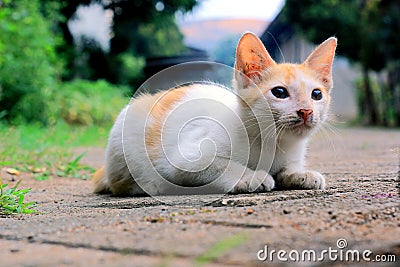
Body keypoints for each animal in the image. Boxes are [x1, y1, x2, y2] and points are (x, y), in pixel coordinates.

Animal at [94, 32, 338, 198]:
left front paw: (301, 175)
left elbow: (289, 169)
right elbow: (220, 165)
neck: (274, 142)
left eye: (316, 94)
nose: (306, 110)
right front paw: (250, 176)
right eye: (279, 92)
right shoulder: (186, 160)